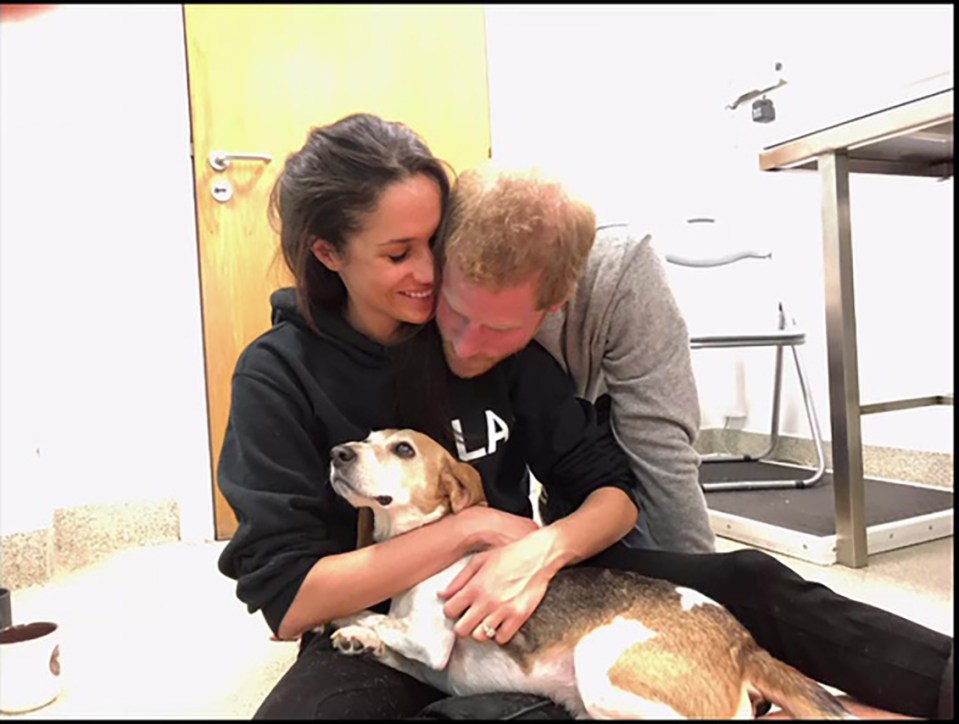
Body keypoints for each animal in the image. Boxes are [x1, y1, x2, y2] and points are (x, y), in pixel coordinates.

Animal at [326, 430, 852, 720]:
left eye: (403, 449)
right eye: (366, 438)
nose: (337, 453)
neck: (420, 542)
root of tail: (744, 645)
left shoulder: (430, 639)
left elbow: (374, 615)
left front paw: (344, 622)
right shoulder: (434, 669)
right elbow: (386, 636)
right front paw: (359, 641)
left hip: (599, 667)